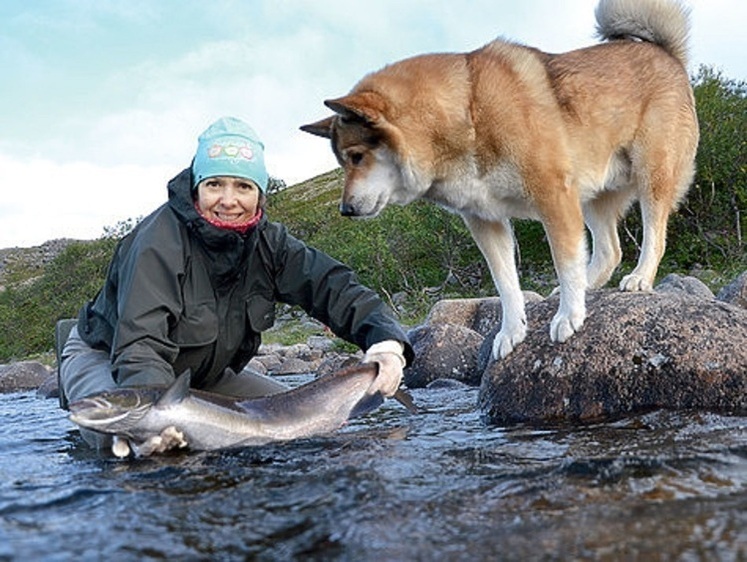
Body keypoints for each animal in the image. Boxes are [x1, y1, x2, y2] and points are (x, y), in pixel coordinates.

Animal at [300, 0, 700, 358]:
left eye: (356, 156)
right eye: (342, 161)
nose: (345, 209)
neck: (468, 114)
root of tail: (664, 53)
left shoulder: (553, 198)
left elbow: (565, 263)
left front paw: (569, 315)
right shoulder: (486, 222)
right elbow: (506, 284)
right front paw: (511, 332)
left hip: (651, 175)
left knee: (654, 235)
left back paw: (640, 277)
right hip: (592, 197)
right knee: (610, 250)